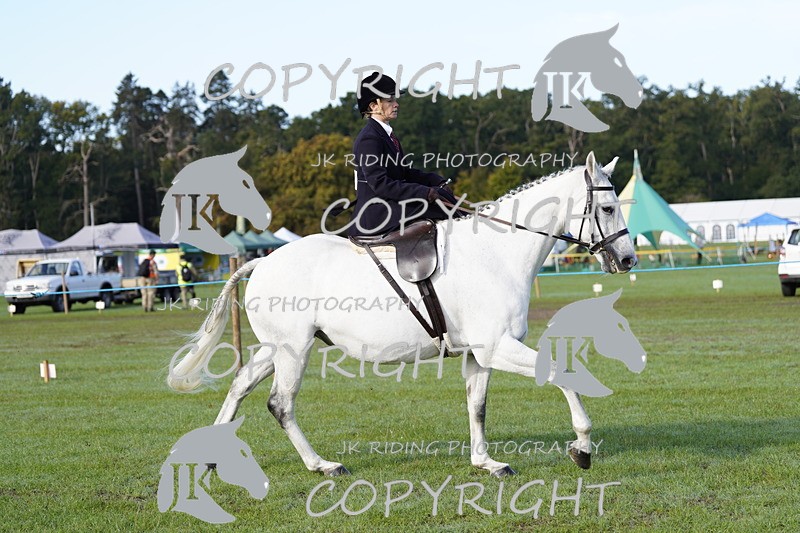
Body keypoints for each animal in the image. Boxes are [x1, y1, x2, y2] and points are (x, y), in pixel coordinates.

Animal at [168, 151, 637, 477]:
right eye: (608, 208)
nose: (628, 260)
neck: (497, 253)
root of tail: (261, 262)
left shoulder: (479, 353)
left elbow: (477, 405)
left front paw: (485, 463)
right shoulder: (498, 346)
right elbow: (562, 374)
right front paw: (582, 448)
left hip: (277, 347)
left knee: (240, 385)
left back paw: (212, 457)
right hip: (292, 350)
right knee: (280, 403)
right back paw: (323, 465)